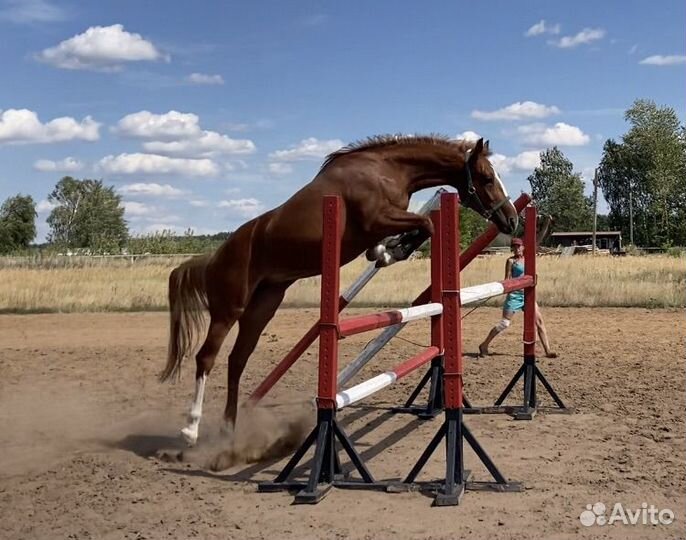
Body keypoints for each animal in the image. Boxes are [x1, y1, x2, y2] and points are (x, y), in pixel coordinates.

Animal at [160, 135, 518, 445]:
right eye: (487, 177)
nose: (512, 220)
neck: (387, 170)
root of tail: (215, 257)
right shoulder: (378, 220)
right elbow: (426, 223)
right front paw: (387, 252)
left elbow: (420, 228)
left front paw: (385, 251)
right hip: (229, 308)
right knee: (207, 357)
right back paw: (190, 430)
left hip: (263, 306)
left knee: (237, 360)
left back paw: (229, 428)